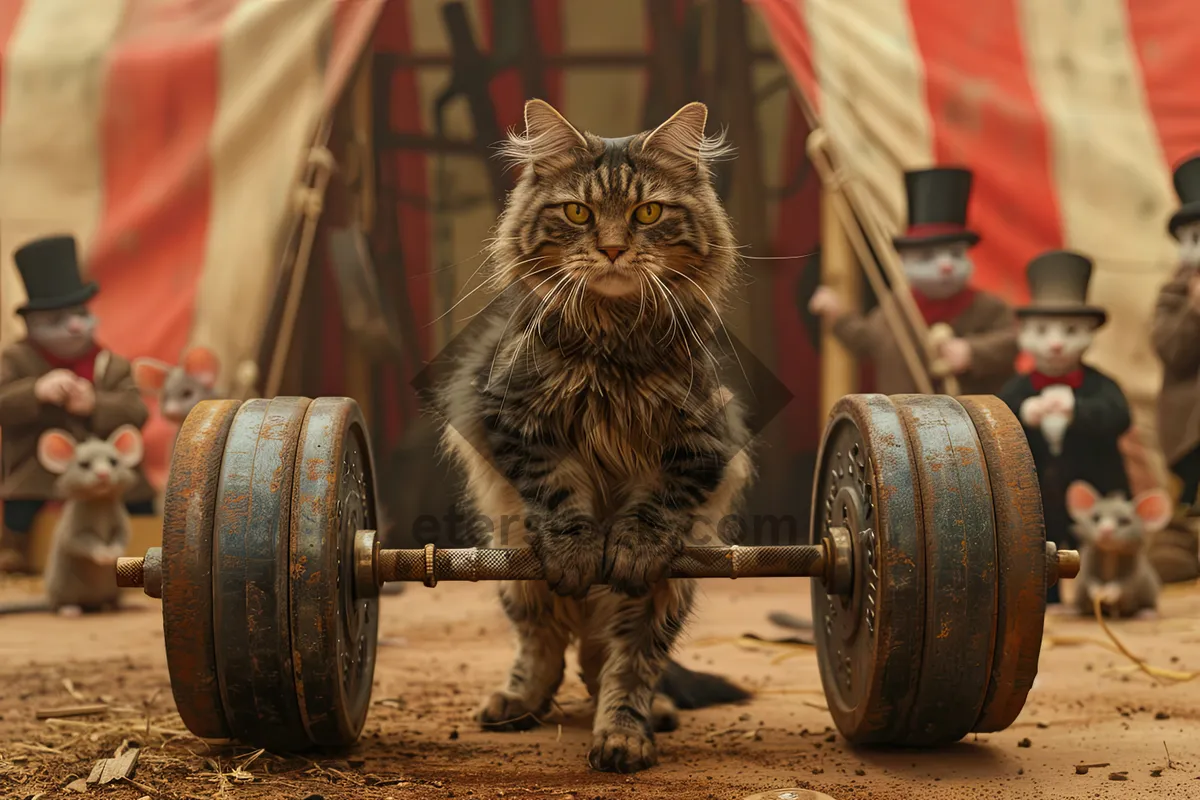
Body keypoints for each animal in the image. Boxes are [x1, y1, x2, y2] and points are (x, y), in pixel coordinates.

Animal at [436, 97, 753, 772]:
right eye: (578, 212)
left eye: (647, 213)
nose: (610, 250)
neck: (611, 342)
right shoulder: (510, 418)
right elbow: (560, 499)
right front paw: (580, 551)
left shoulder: (703, 443)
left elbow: (653, 513)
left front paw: (627, 547)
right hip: (510, 558)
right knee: (546, 644)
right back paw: (516, 703)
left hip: (666, 592)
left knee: (622, 663)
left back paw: (630, 732)